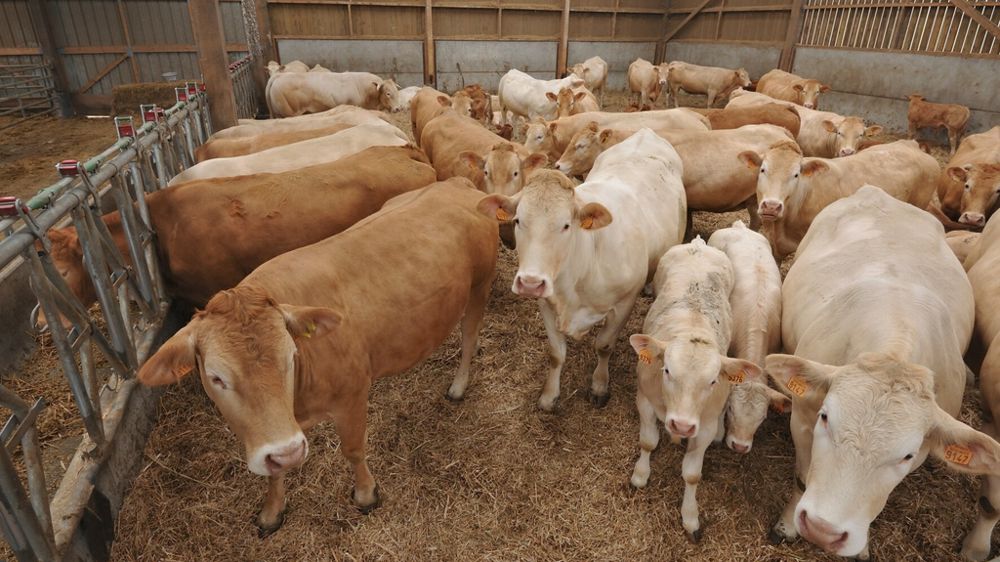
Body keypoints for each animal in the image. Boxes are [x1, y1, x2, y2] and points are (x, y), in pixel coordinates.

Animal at [136, 178, 499, 534]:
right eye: (216, 377)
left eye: (290, 357)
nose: (288, 452)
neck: (298, 400)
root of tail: (456, 184)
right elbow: (274, 473)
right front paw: (272, 511)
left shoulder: (353, 396)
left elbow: (353, 450)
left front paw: (366, 494)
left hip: (480, 285)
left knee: (469, 336)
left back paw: (458, 386)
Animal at [477, 129, 687, 410]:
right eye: (518, 220)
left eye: (566, 225)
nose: (530, 282)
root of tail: (646, 133)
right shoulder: (546, 303)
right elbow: (556, 354)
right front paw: (549, 396)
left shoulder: (624, 303)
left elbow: (604, 346)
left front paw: (599, 386)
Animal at [628, 237, 762, 541]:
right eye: (666, 370)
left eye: (712, 381)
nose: (682, 425)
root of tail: (698, 243)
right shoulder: (644, 400)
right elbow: (647, 442)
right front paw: (640, 475)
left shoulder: (706, 426)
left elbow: (692, 475)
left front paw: (690, 516)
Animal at [764, 185, 991, 560]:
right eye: (826, 417)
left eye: (908, 454)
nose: (824, 531)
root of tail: (876, 192)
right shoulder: (802, 416)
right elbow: (801, 476)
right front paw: (786, 525)